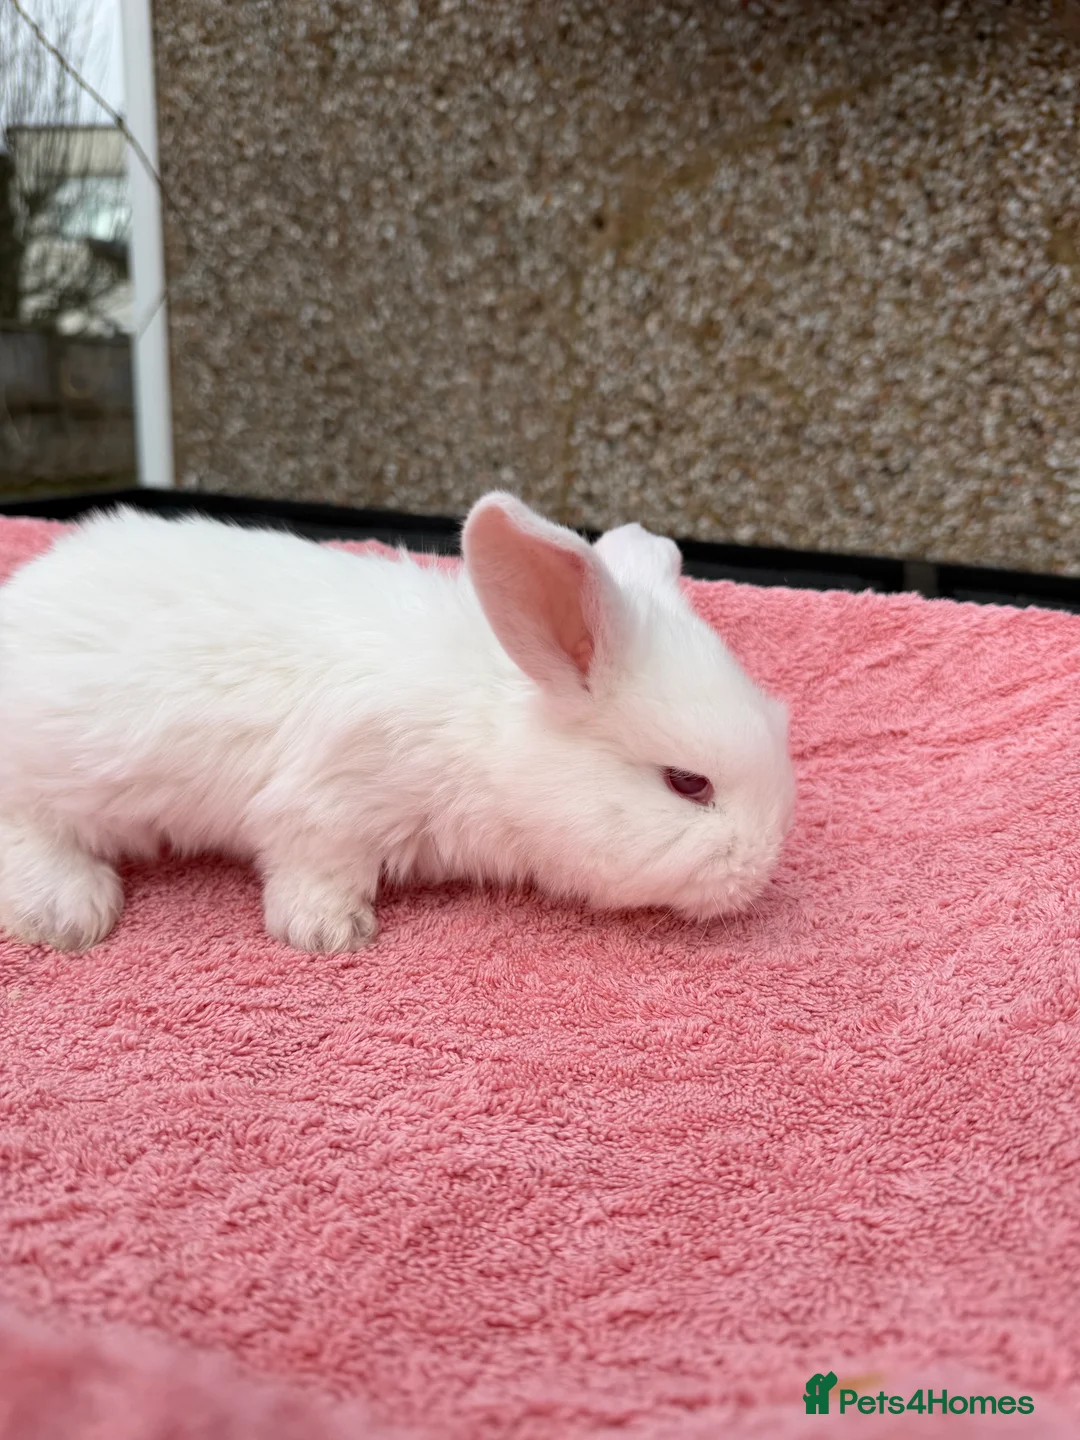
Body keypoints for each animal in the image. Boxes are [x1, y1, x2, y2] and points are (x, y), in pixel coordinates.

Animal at [0, 493, 795, 954]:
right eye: (687, 783)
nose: (760, 872)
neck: (485, 732)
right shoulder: (323, 806)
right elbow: (313, 869)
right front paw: (330, 933)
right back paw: (69, 913)